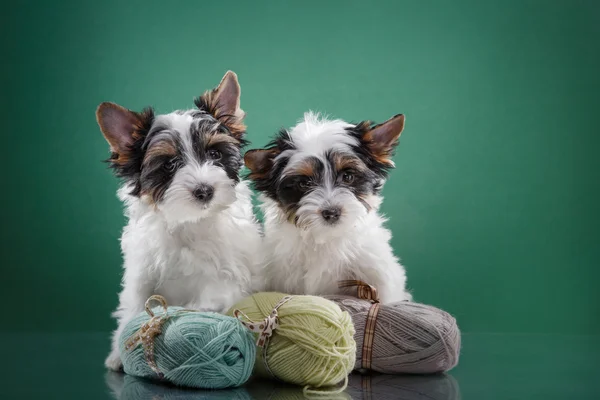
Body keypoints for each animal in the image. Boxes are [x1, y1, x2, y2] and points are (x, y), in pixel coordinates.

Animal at [95, 70, 260, 370]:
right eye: (170, 165)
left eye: (215, 154)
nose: (205, 190)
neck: (189, 221)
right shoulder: (143, 271)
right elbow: (135, 304)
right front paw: (119, 353)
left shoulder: (228, 273)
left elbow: (213, 295)